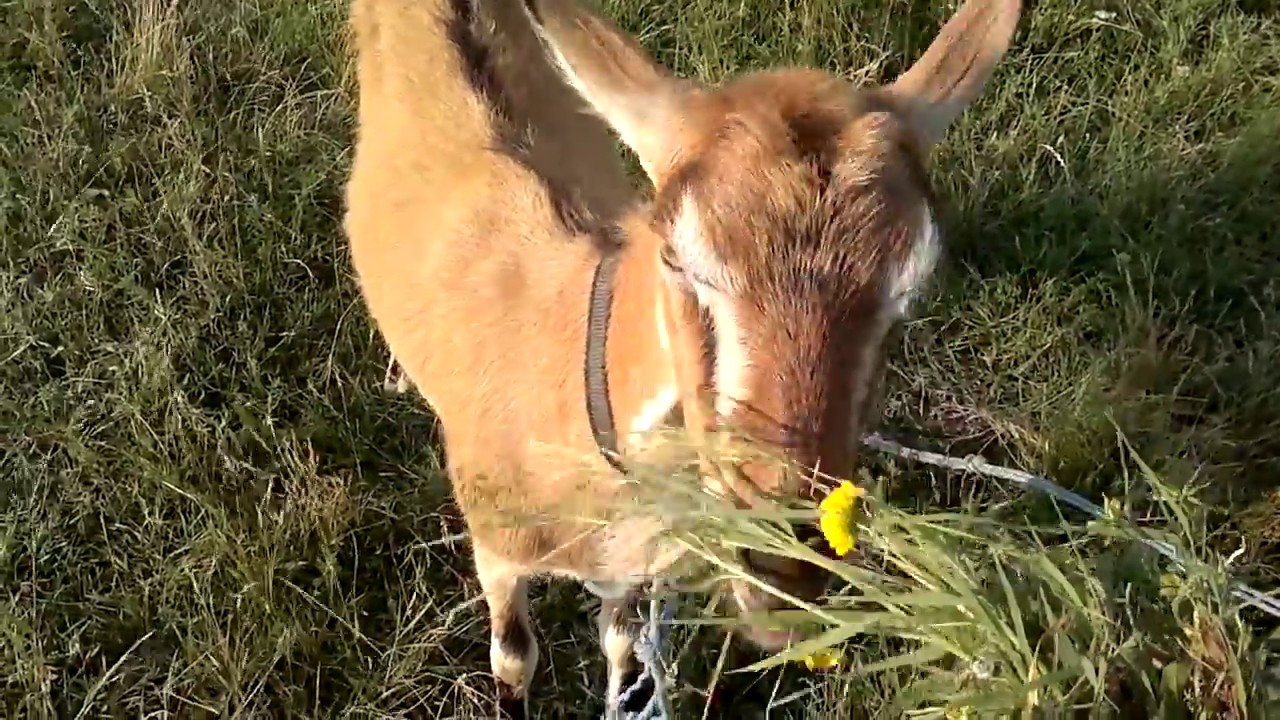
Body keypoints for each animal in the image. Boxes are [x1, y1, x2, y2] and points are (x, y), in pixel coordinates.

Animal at [343, 0, 1023, 716]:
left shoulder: (627, 574)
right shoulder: (495, 550)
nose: (786, 568)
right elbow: (513, 658)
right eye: (676, 257)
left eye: (909, 290)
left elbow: (622, 646)